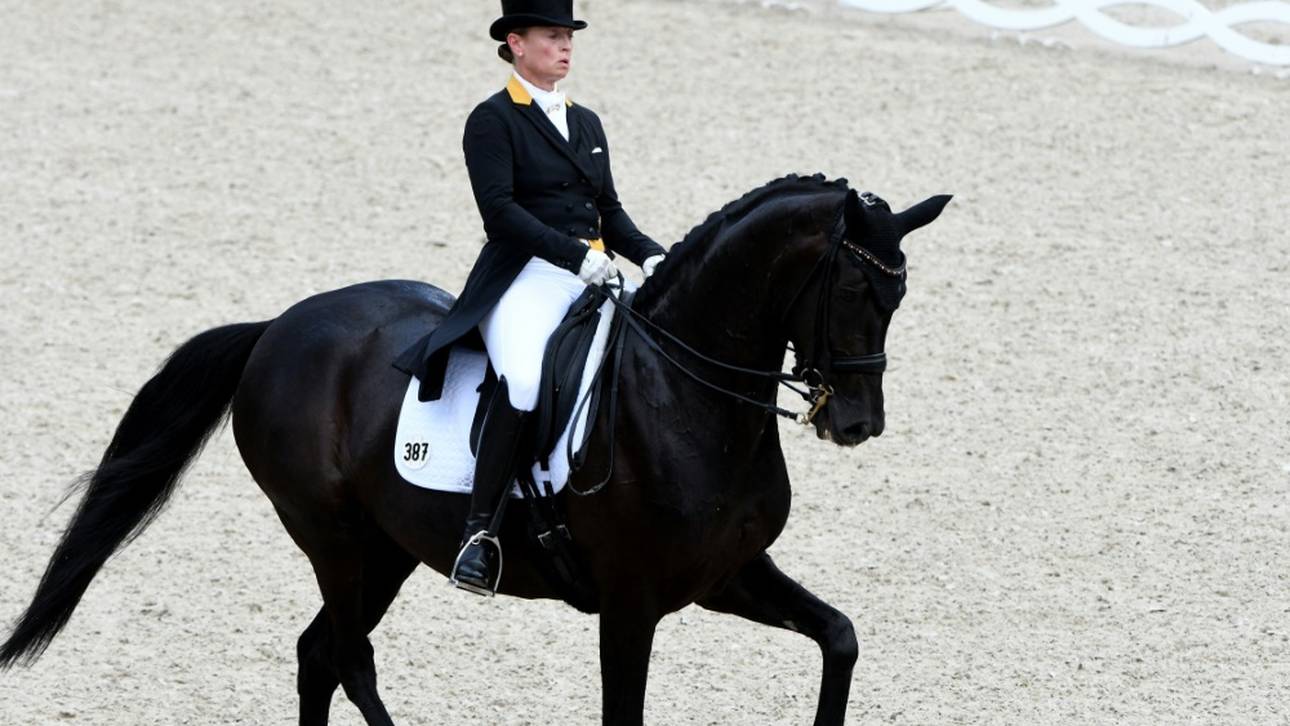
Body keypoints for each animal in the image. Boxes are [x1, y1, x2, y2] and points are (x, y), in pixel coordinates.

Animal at [0, 174, 950, 725]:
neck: (685, 397)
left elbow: (840, 639)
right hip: (333, 539)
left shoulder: (726, 576)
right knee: (348, 658)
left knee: (318, 656)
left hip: (385, 549)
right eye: (855, 288)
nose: (856, 422)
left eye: (901, 295)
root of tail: (279, 328)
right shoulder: (630, 604)